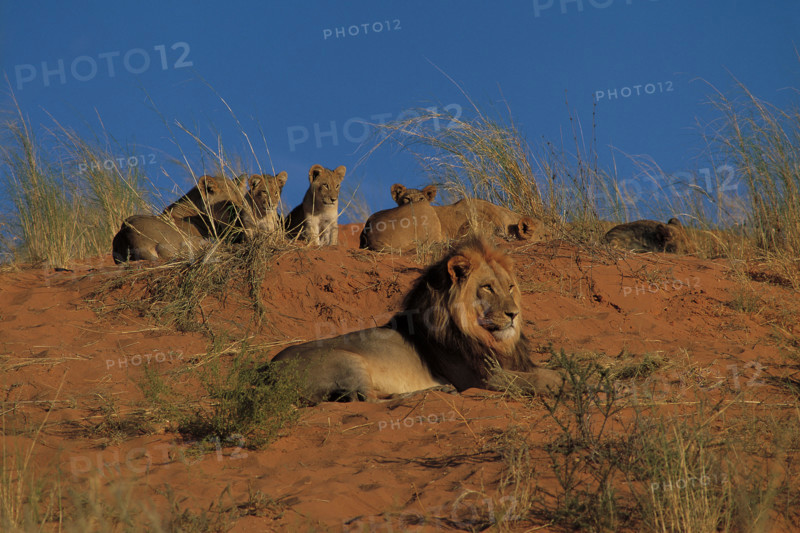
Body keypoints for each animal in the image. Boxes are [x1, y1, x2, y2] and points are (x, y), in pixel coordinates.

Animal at [270, 238, 563, 403]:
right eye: (488, 288)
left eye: (510, 287)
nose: (514, 314)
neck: (484, 336)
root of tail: (266, 374)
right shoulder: (482, 379)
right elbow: (538, 380)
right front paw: (566, 383)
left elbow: (546, 370)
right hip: (348, 360)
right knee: (369, 400)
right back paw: (438, 391)